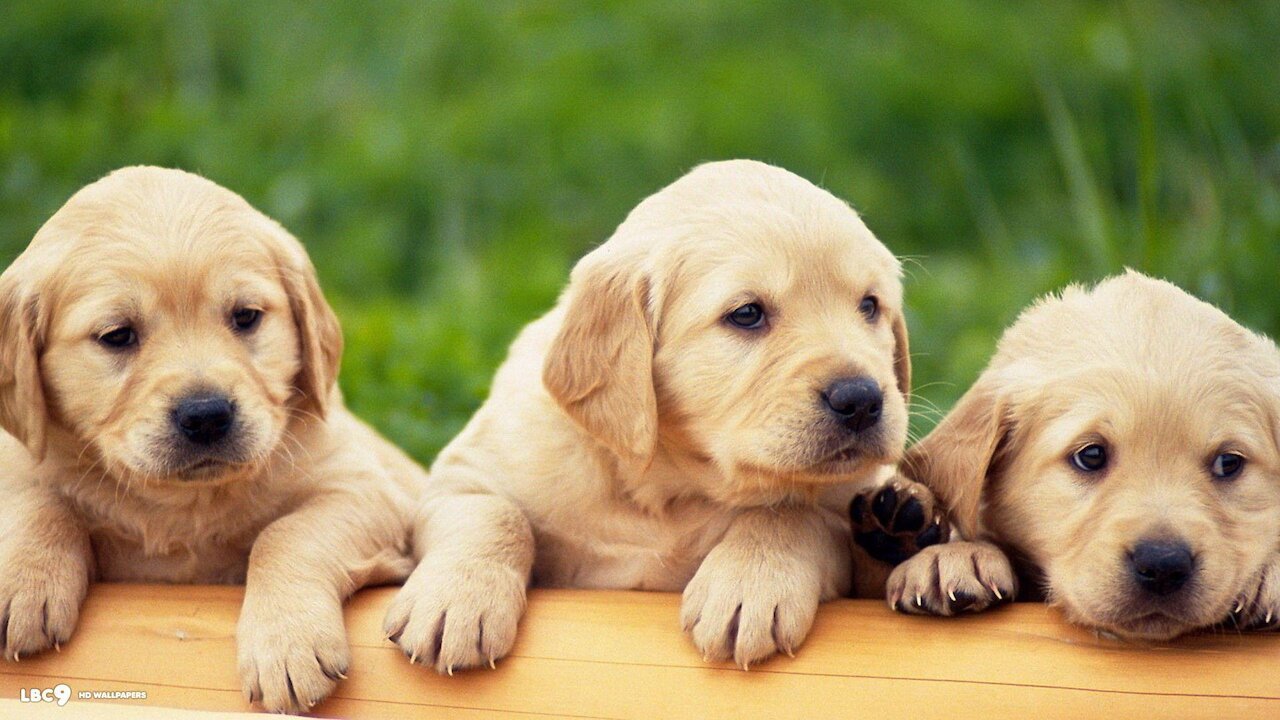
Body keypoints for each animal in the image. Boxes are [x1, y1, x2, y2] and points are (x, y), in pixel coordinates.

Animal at [0, 165, 430, 707]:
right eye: (117, 335)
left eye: (245, 317)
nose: (206, 416)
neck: (184, 504)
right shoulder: (19, 461)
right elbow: (37, 500)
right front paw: (23, 581)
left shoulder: (368, 490)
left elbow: (284, 534)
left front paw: (287, 644)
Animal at [384, 159, 916, 671]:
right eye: (747, 314)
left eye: (870, 306)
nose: (861, 399)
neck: (668, 484)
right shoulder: (464, 474)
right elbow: (494, 513)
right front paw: (455, 602)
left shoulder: (843, 505)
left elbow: (790, 512)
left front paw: (750, 584)